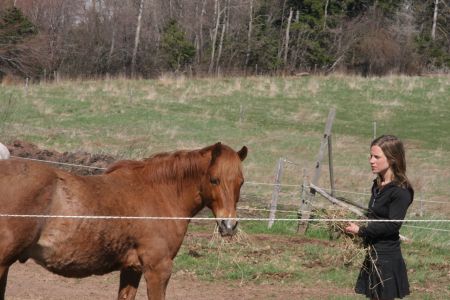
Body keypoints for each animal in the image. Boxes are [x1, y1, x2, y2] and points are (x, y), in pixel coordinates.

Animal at [0, 142, 246, 298]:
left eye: (241, 181)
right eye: (214, 180)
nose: (229, 225)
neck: (158, 194)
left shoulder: (131, 269)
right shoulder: (158, 269)